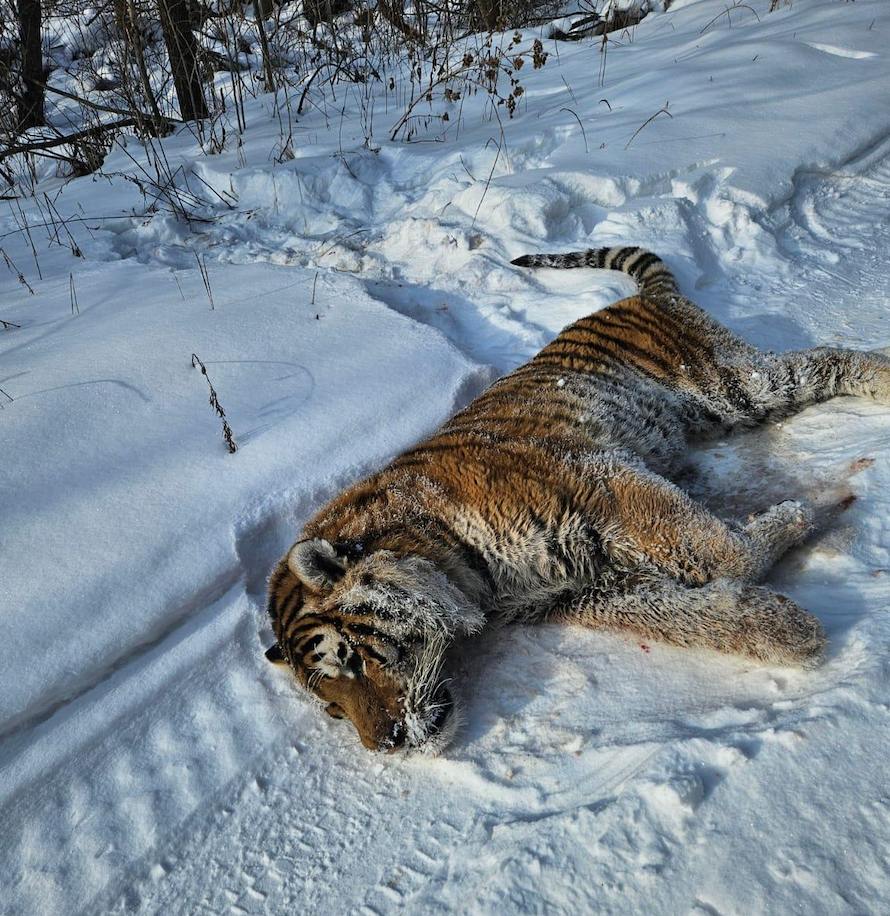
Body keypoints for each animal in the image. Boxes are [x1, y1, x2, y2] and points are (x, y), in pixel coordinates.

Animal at [264, 243, 888, 752]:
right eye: (332, 710)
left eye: (350, 658)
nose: (387, 747)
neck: (462, 573)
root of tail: (641, 298)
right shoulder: (576, 590)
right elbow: (679, 613)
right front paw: (789, 629)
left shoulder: (602, 478)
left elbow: (725, 554)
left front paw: (794, 516)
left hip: (734, 385)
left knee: (830, 359)